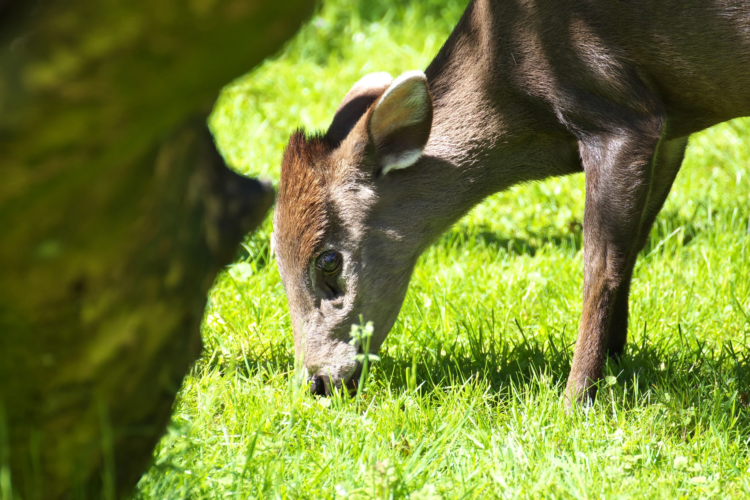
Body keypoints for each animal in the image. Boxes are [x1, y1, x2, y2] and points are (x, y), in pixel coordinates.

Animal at [274, 0, 750, 406]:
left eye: (328, 260)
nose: (316, 382)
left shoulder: (619, 115)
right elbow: (631, 252)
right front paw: (616, 360)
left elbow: (600, 267)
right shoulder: (671, 130)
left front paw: (576, 399)